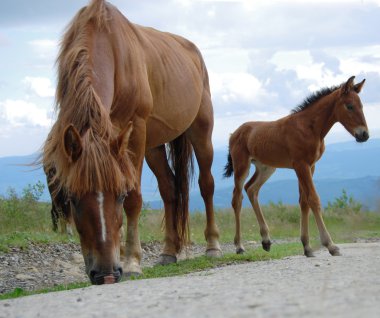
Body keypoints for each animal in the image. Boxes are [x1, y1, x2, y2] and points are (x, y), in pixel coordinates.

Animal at [43, 0, 221, 284]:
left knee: (207, 185)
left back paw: (213, 245)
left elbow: (135, 199)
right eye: (72, 197)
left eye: (120, 195)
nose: (106, 274)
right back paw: (168, 252)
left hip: (200, 131)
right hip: (154, 147)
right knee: (170, 190)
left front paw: (131, 262)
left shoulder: (134, 130)